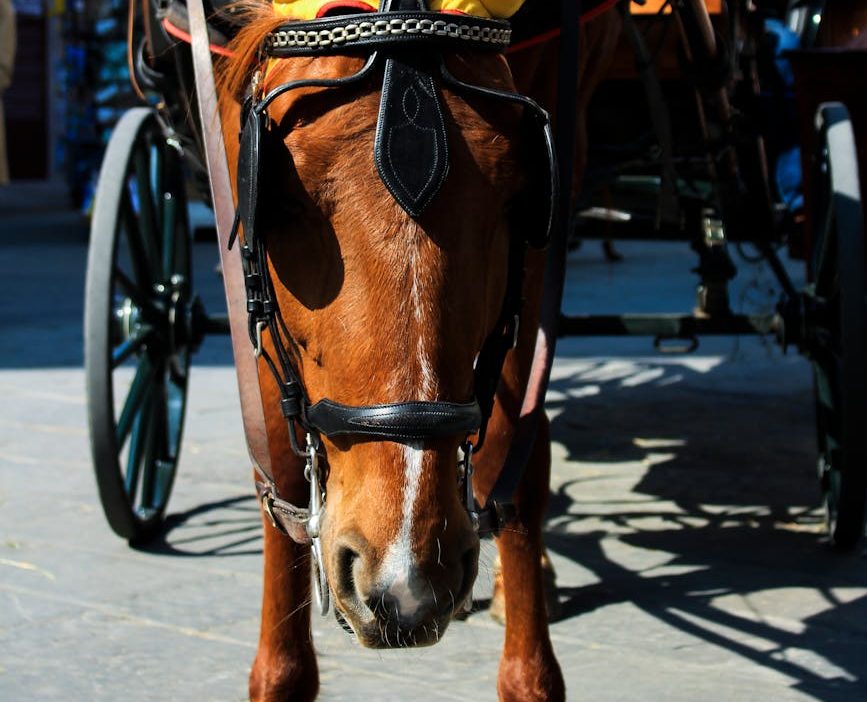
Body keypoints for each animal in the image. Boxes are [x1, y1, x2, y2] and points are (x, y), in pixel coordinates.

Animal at [216, 1, 620, 699]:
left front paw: (528, 671)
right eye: (281, 198)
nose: (406, 583)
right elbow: (279, 457)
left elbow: (514, 448)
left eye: (517, 195)